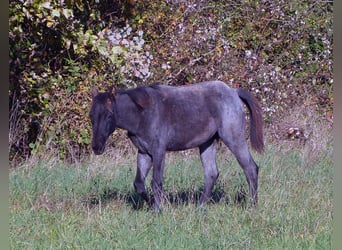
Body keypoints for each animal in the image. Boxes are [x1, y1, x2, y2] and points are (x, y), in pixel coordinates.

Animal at [89, 80, 264, 211]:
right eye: (91, 116)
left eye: (109, 115)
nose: (96, 147)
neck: (142, 114)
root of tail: (233, 92)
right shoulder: (144, 152)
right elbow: (139, 184)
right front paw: (152, 204)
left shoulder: (159, 151)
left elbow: (156, 182)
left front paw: (158, 210)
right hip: (207, 143)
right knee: (211, 173)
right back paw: (200, 208)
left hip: (233, 138)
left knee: (250, 168)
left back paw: (253, 207)